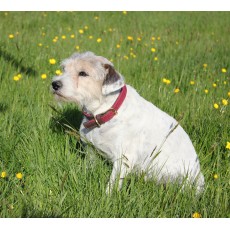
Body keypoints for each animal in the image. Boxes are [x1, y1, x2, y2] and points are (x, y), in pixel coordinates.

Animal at [51, 51, 205, 194]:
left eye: (83, 73)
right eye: (64, 68)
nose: (55, 84)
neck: (104, 112)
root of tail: (199, 177)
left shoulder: (123, 159)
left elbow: (112, 184)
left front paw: (107, 198)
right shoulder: (91, 151)